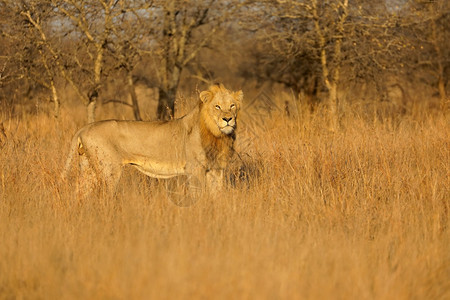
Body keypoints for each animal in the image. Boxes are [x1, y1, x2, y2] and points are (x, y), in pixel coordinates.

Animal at [61, 84, 243, 199]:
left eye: (232, 106)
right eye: (217, 106)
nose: (228, 119)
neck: (217, 135)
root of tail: (85, 127)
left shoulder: (217, 169)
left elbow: (216, 195)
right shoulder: (195, 169)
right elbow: (197, 194)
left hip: (87, 167)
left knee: (79, 191)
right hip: (108, 169)